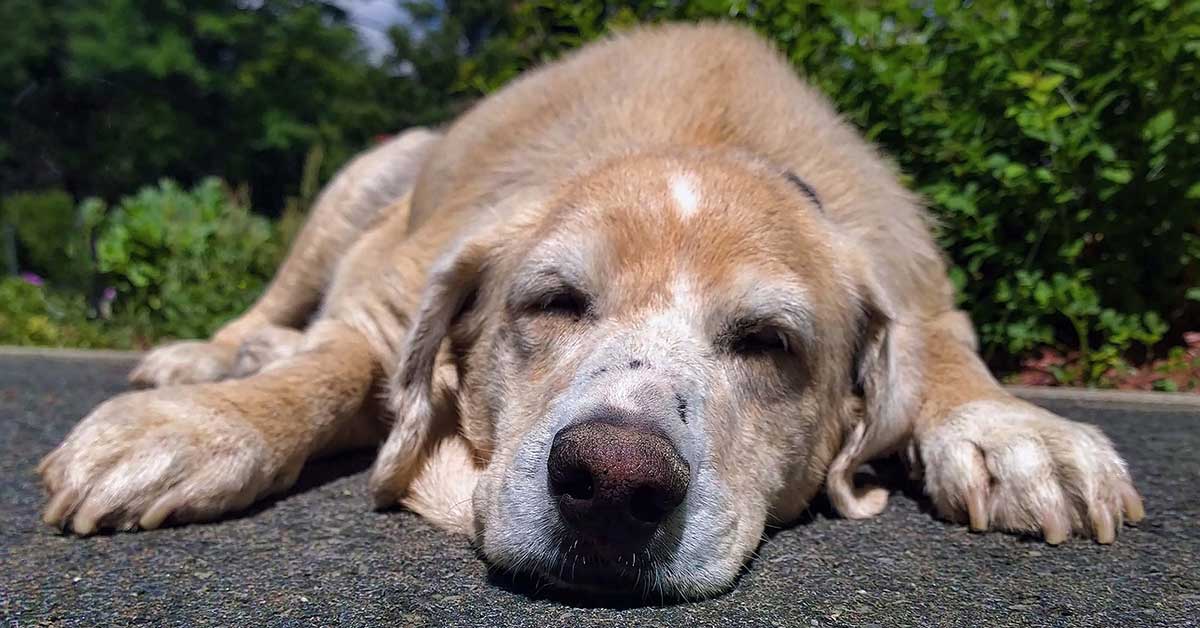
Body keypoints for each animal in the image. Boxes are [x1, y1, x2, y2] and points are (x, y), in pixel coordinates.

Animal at [37, 23, 1142, 600]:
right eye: (554, 301)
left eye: (767, 343)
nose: (613, 481)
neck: (705, 135)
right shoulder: (388, 301)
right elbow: (330, 366)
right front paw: (194, 430)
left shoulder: (917, 286)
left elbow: (949, 353)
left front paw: (1018, 431)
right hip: (367, 177)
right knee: (279, 308)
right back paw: (209, 356)